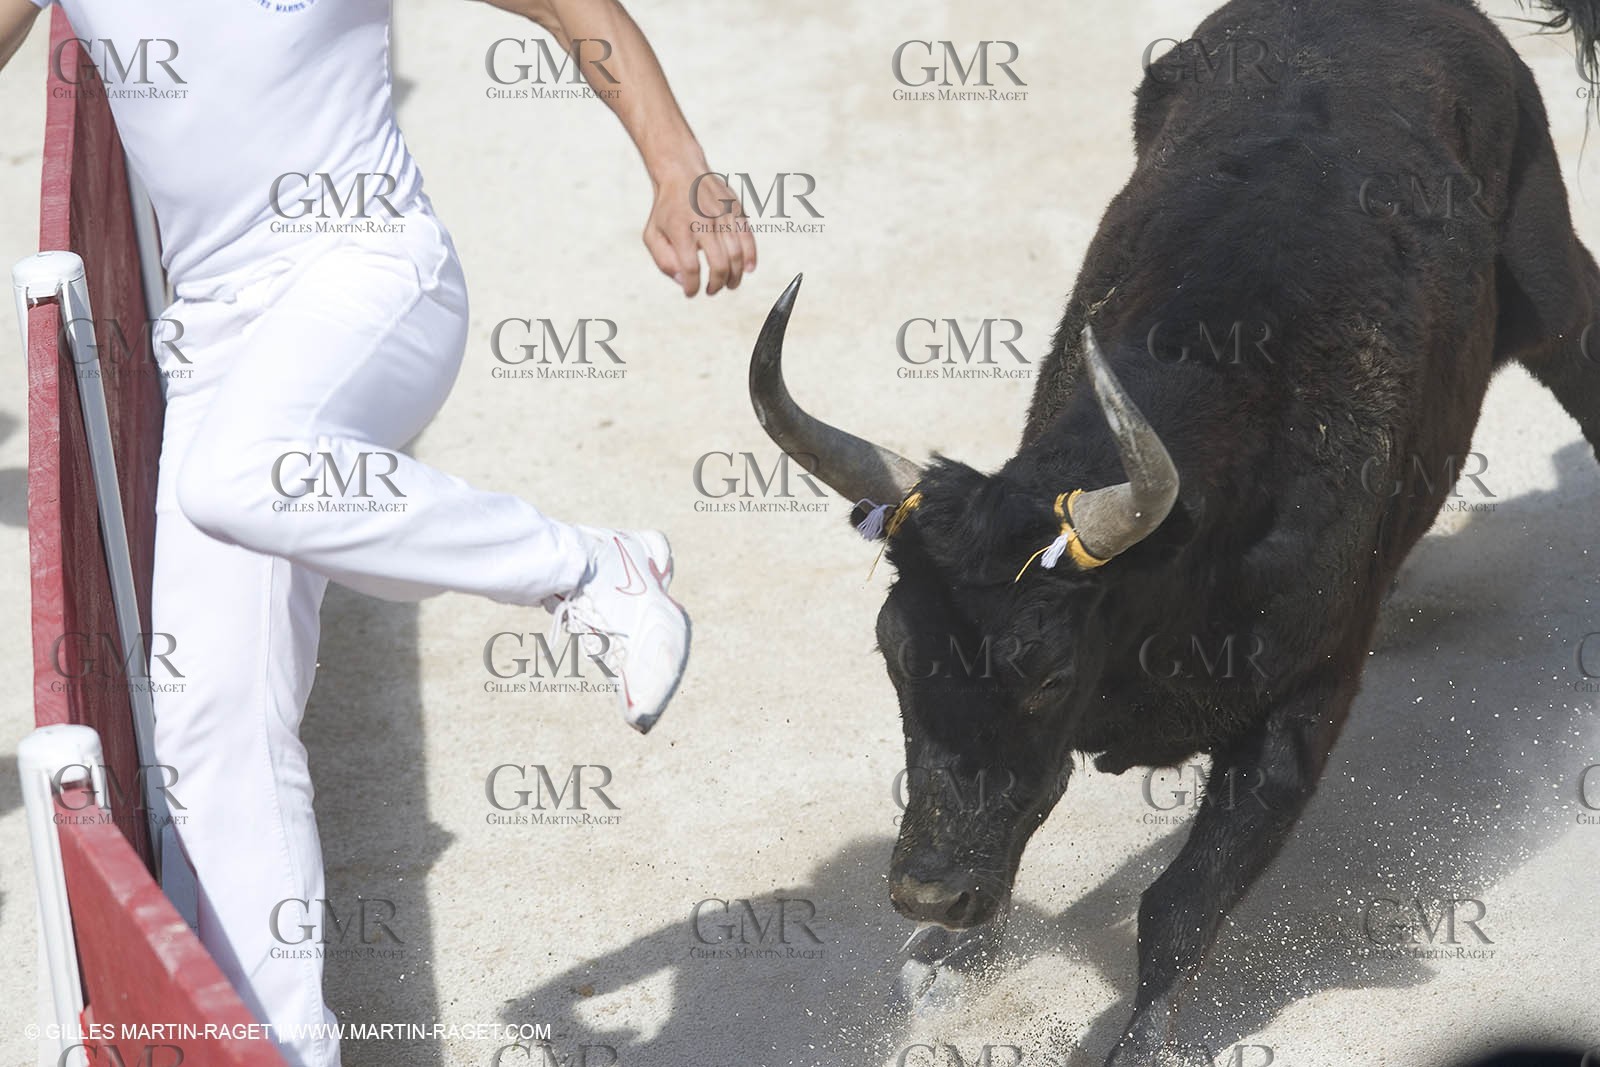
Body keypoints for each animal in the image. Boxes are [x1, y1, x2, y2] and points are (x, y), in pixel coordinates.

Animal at [747, 1, 1600, 1063]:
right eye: (894, 655)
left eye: (1048, 674)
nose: (927, 893)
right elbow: (1030, 795)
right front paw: (944, 961)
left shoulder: (1302, 702)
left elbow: (1182, 901)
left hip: (1548, 286)